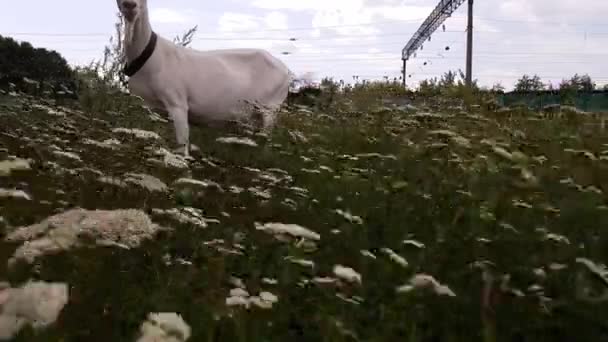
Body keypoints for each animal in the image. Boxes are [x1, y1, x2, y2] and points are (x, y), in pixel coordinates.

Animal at [117, 0, 294, 157]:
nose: (129, 4)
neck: (151, 56)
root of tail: (286, 70)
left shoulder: (177, 101)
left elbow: (183, 144)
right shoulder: (147, 106)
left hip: (270, 108)